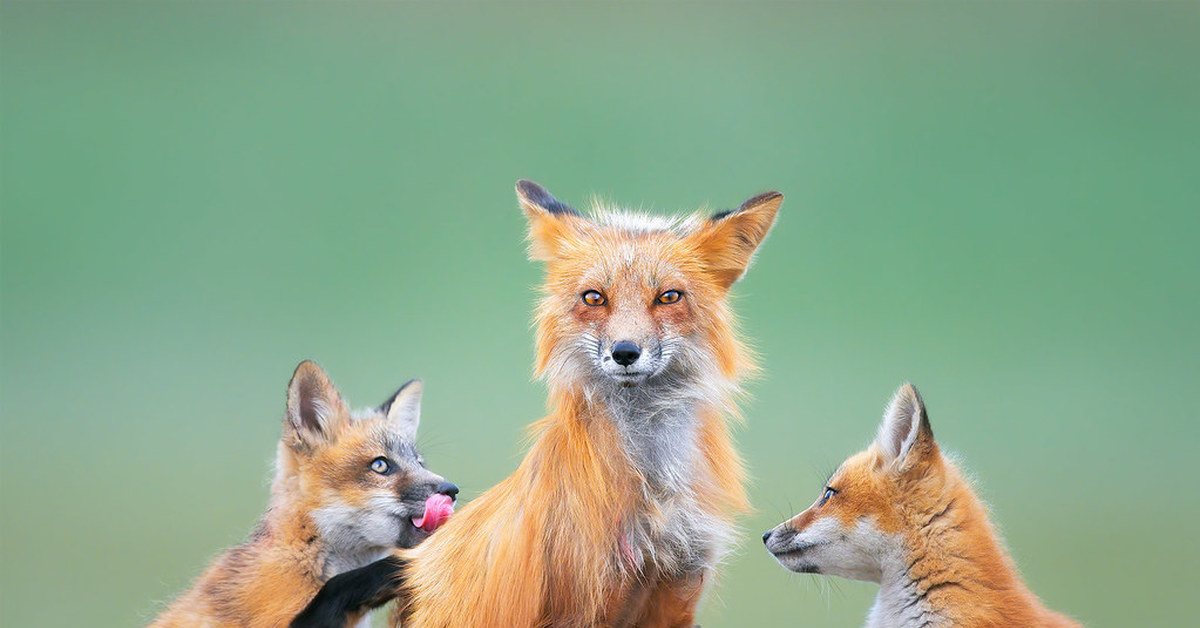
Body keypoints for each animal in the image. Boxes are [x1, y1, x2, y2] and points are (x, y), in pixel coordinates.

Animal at [291, 180, 777, 628]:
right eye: (594, 297)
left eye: (669, 296)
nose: (625, 352)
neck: (652, 491)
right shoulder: (581, 601)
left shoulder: (676, 591)